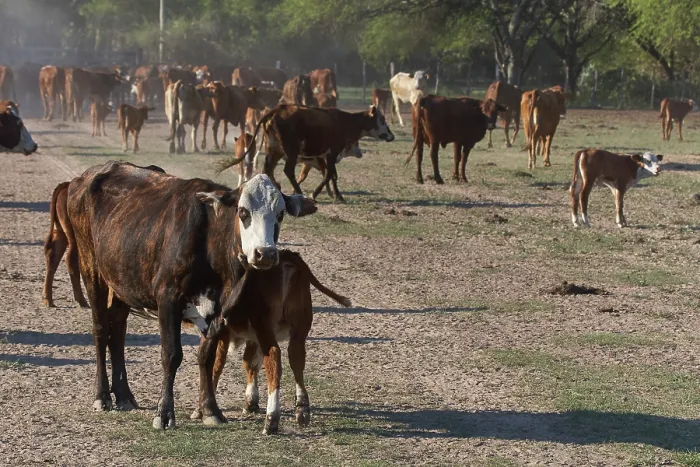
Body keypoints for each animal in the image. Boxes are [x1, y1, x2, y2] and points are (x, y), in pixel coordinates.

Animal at [66, 161, 317, 429]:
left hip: (122, 281)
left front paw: (210, 410)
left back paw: (123, 394)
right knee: (101, 329)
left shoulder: (221, 306)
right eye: (243, 212)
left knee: (118, 331)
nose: (265, 254)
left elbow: (207, 356)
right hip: (91, 267)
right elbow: (171, 354)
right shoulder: (168, 298)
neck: (209, 240)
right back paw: (102, 395)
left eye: (280, 214)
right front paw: (164, 412)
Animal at [190, 249, 350, 433]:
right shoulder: (253, 337)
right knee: (296, 360)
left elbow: (215, 365)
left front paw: (202, 410)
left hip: (265, 328)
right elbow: (250, 363)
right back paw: (302, 410)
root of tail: (287, 256)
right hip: (298, 329)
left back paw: (271, 419)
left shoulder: (219, 333)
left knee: (274, 357)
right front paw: (251, 402)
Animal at [219, 104, 394, 201]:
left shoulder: (326, 156)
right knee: (288, 170)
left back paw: (275, 188)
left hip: (274, 149)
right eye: (382, 120)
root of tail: (276, 110)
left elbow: (332, 175)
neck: (345, 122)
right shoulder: (332, 153)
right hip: (291, 150)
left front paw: (337, 195)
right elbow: (329, 174)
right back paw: (299, 192)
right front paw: (315, 194)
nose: (391, 136)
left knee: (267, 169)